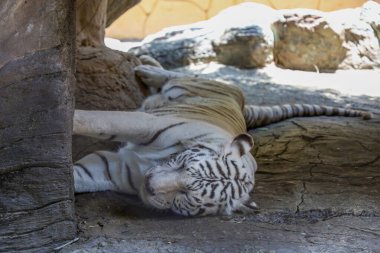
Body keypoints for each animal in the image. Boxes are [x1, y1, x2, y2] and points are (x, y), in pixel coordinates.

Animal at [72, 56, 372, 216]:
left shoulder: (113, 168)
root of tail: (243, 104)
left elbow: (80, 176)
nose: (149, 185)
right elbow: (98, 119)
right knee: (175, 74)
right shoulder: (145, 124)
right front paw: (68, 115)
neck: (150, 164)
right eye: (182, 165)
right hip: (199, 83)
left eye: (185, 195)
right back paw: (146, 66)